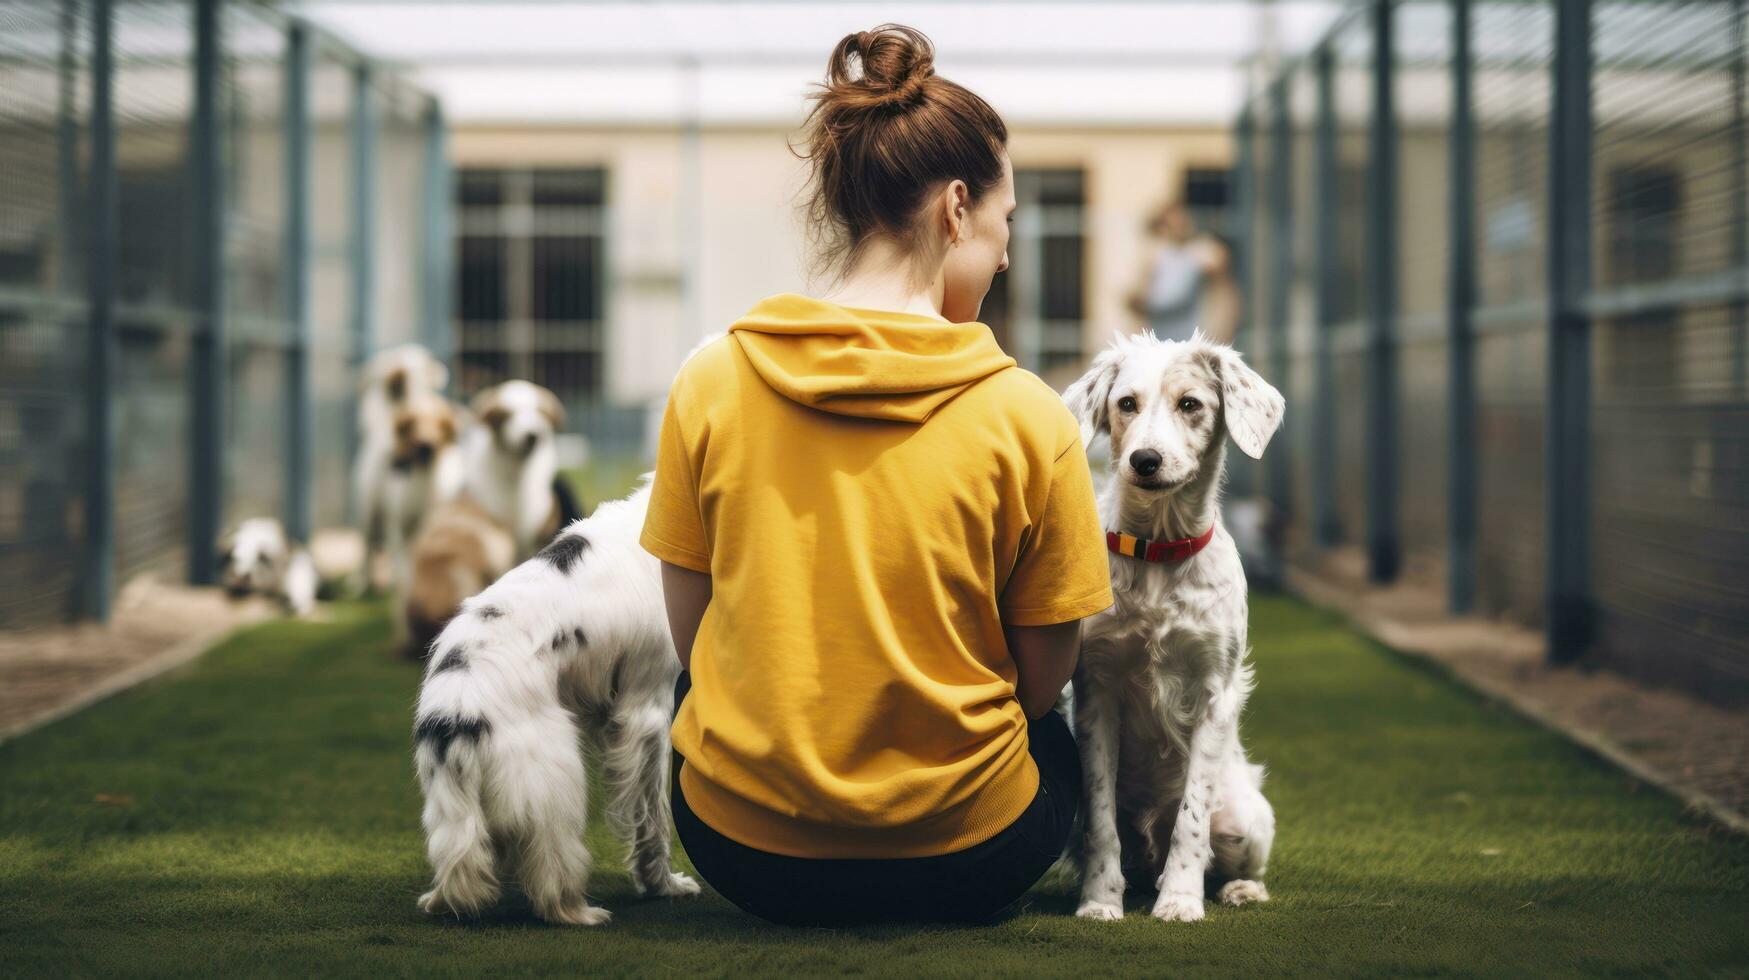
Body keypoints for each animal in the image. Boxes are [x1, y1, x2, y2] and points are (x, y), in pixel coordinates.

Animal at [414, 483, 696, 924]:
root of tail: (456, 714)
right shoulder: (647, 713)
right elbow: (652, 820)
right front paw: (662, 886)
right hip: (557, 785)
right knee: (551, 874)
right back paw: (580, 912)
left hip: (452, 808)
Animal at [1049, 332, 1287, 924]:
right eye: (1126, 403)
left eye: (1190, 404)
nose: (1145, 460)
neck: (1157, 552)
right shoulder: (1097, 692)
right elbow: (1102, 822)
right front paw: (1098, 901)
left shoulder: (1214, 693)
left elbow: (1191, 819)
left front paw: (1180, 899)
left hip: (1246, 816)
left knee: (1234, 858)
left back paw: (1239, 890)